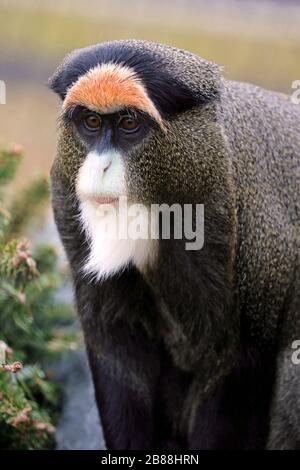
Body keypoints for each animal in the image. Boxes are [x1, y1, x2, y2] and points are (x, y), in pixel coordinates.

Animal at [49, 39, 300, 448]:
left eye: (129, 124)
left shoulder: (253, 246)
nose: (100, 167)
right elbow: (117, 345)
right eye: (91, 122)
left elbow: (238, 364)